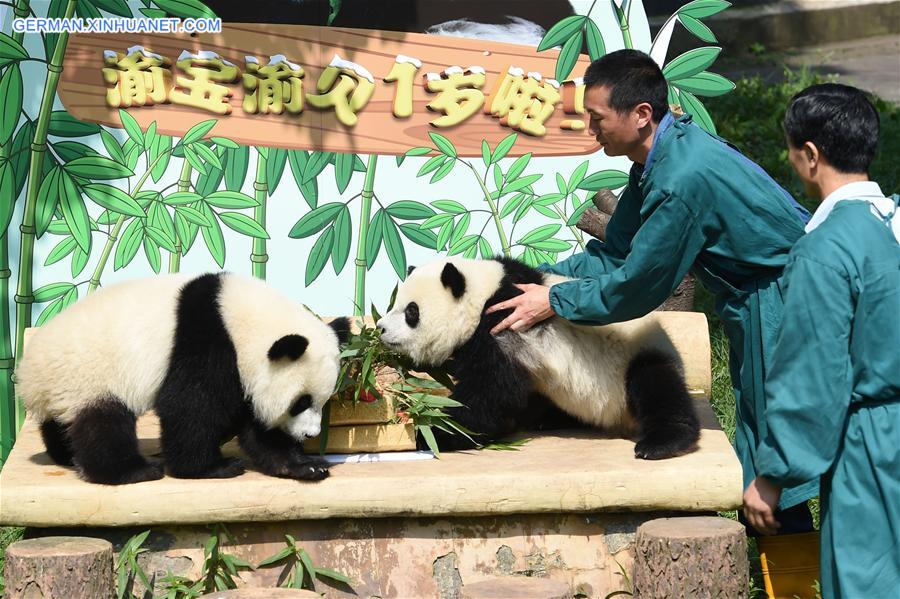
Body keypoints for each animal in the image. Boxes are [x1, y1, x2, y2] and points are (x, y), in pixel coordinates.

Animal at [16, 274, 352, 486]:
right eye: (300, 402)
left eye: (321, 401)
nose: (309, 435)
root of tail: (28, 376)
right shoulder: (205, 340)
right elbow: (191, 405)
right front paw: (212, 468)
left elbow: (256, 426)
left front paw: (304, 465)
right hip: (88, 376)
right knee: (103, 425)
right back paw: (133, 471)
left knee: (63, 424)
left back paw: (65, 454)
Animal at [376, 256, 700, 460]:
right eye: (395, 304)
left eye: (411, 312)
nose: (380, 329)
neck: (482, 293)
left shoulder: (503, 324)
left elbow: (493, 390)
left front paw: (434, 431)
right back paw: (548, 419)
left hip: (633, 359)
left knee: (655, 384)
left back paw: (662, 442)